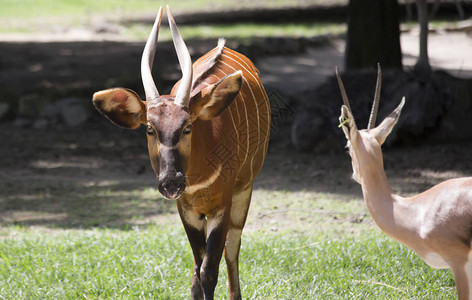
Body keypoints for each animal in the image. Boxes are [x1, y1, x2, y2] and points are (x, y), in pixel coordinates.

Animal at [92, 5, 270, 300]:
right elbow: (198, 270)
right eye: (149, 128)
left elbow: (210, 270)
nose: (170, 182)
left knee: (232, 248)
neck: (198, 177)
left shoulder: (222, 205)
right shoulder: (186, 209)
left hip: (245, 189)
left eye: (187, 126)